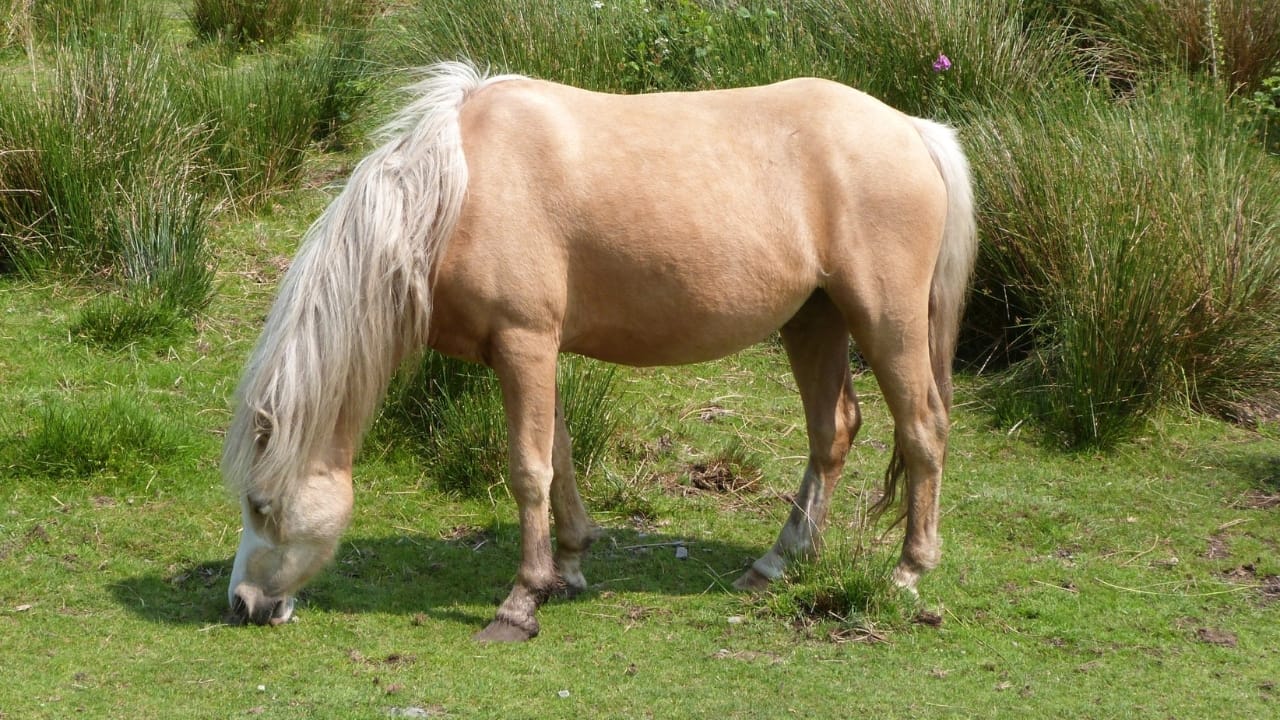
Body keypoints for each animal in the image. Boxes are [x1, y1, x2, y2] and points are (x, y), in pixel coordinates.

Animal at [221, 61, 977, 642]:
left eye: (260, 505)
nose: (244, 605)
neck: (459, 192)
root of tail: (914, 129)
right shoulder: (533, 351)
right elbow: (557, 458)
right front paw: (569, 567)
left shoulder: (524, 342)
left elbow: (528, 471)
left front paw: (520, 602)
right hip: (813, 320)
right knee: (833, 432)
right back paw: (777, 564)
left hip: (885, 319)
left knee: (923, 430)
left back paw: (908, 571)